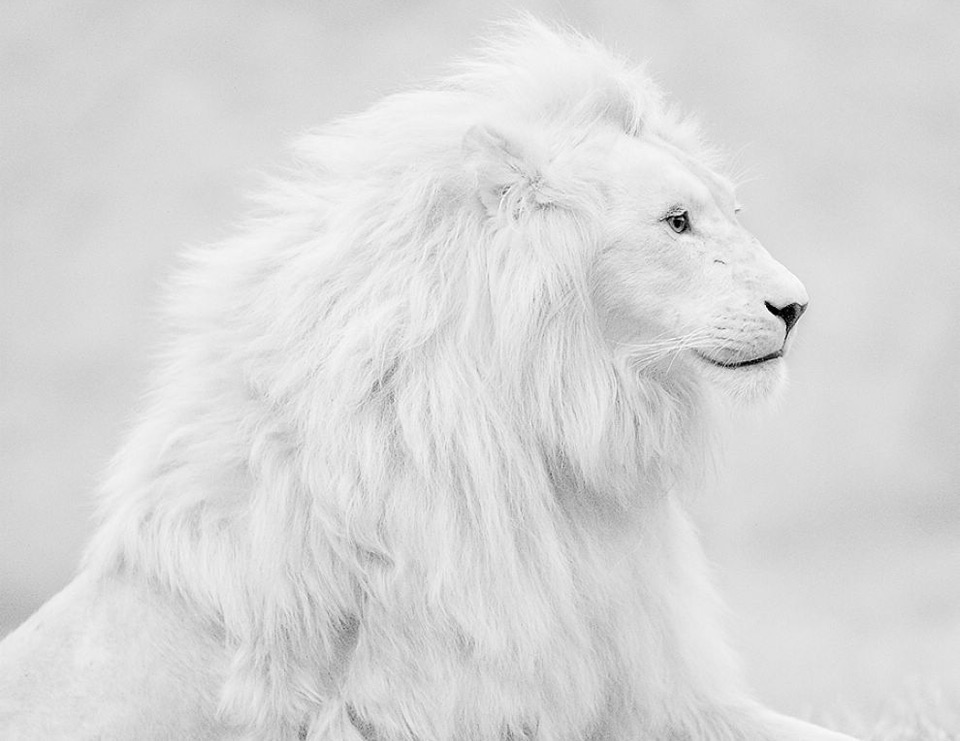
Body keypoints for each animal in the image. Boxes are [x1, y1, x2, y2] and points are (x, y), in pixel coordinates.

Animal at [0, 17, 856, 740]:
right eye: (675, 221)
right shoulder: (441, 703)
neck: (560, 451)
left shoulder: (649, 685)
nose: (796, 306)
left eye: (731, 211)